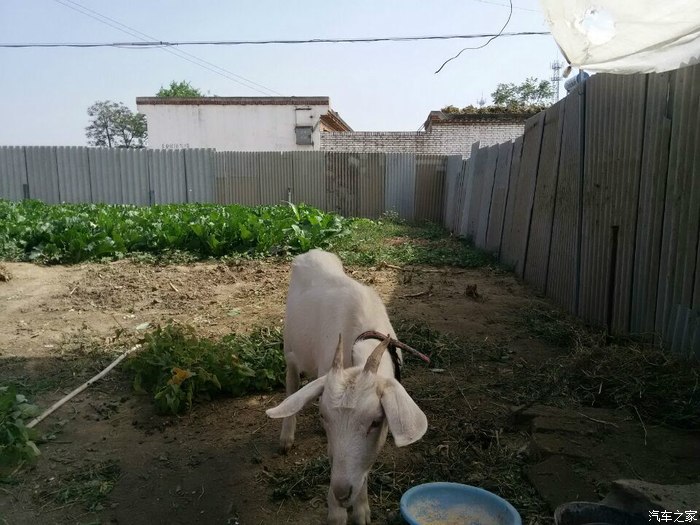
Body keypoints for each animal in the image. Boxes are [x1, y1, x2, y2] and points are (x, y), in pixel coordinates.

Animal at [266, 249, 428, 525]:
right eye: (323, 416)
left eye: (375, 421)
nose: (341, 492)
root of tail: (313, 251)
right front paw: (337, 513)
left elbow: (365, 465)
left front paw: (361, 510)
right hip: (290, 348)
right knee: (292, 383)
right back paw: (286, 438)